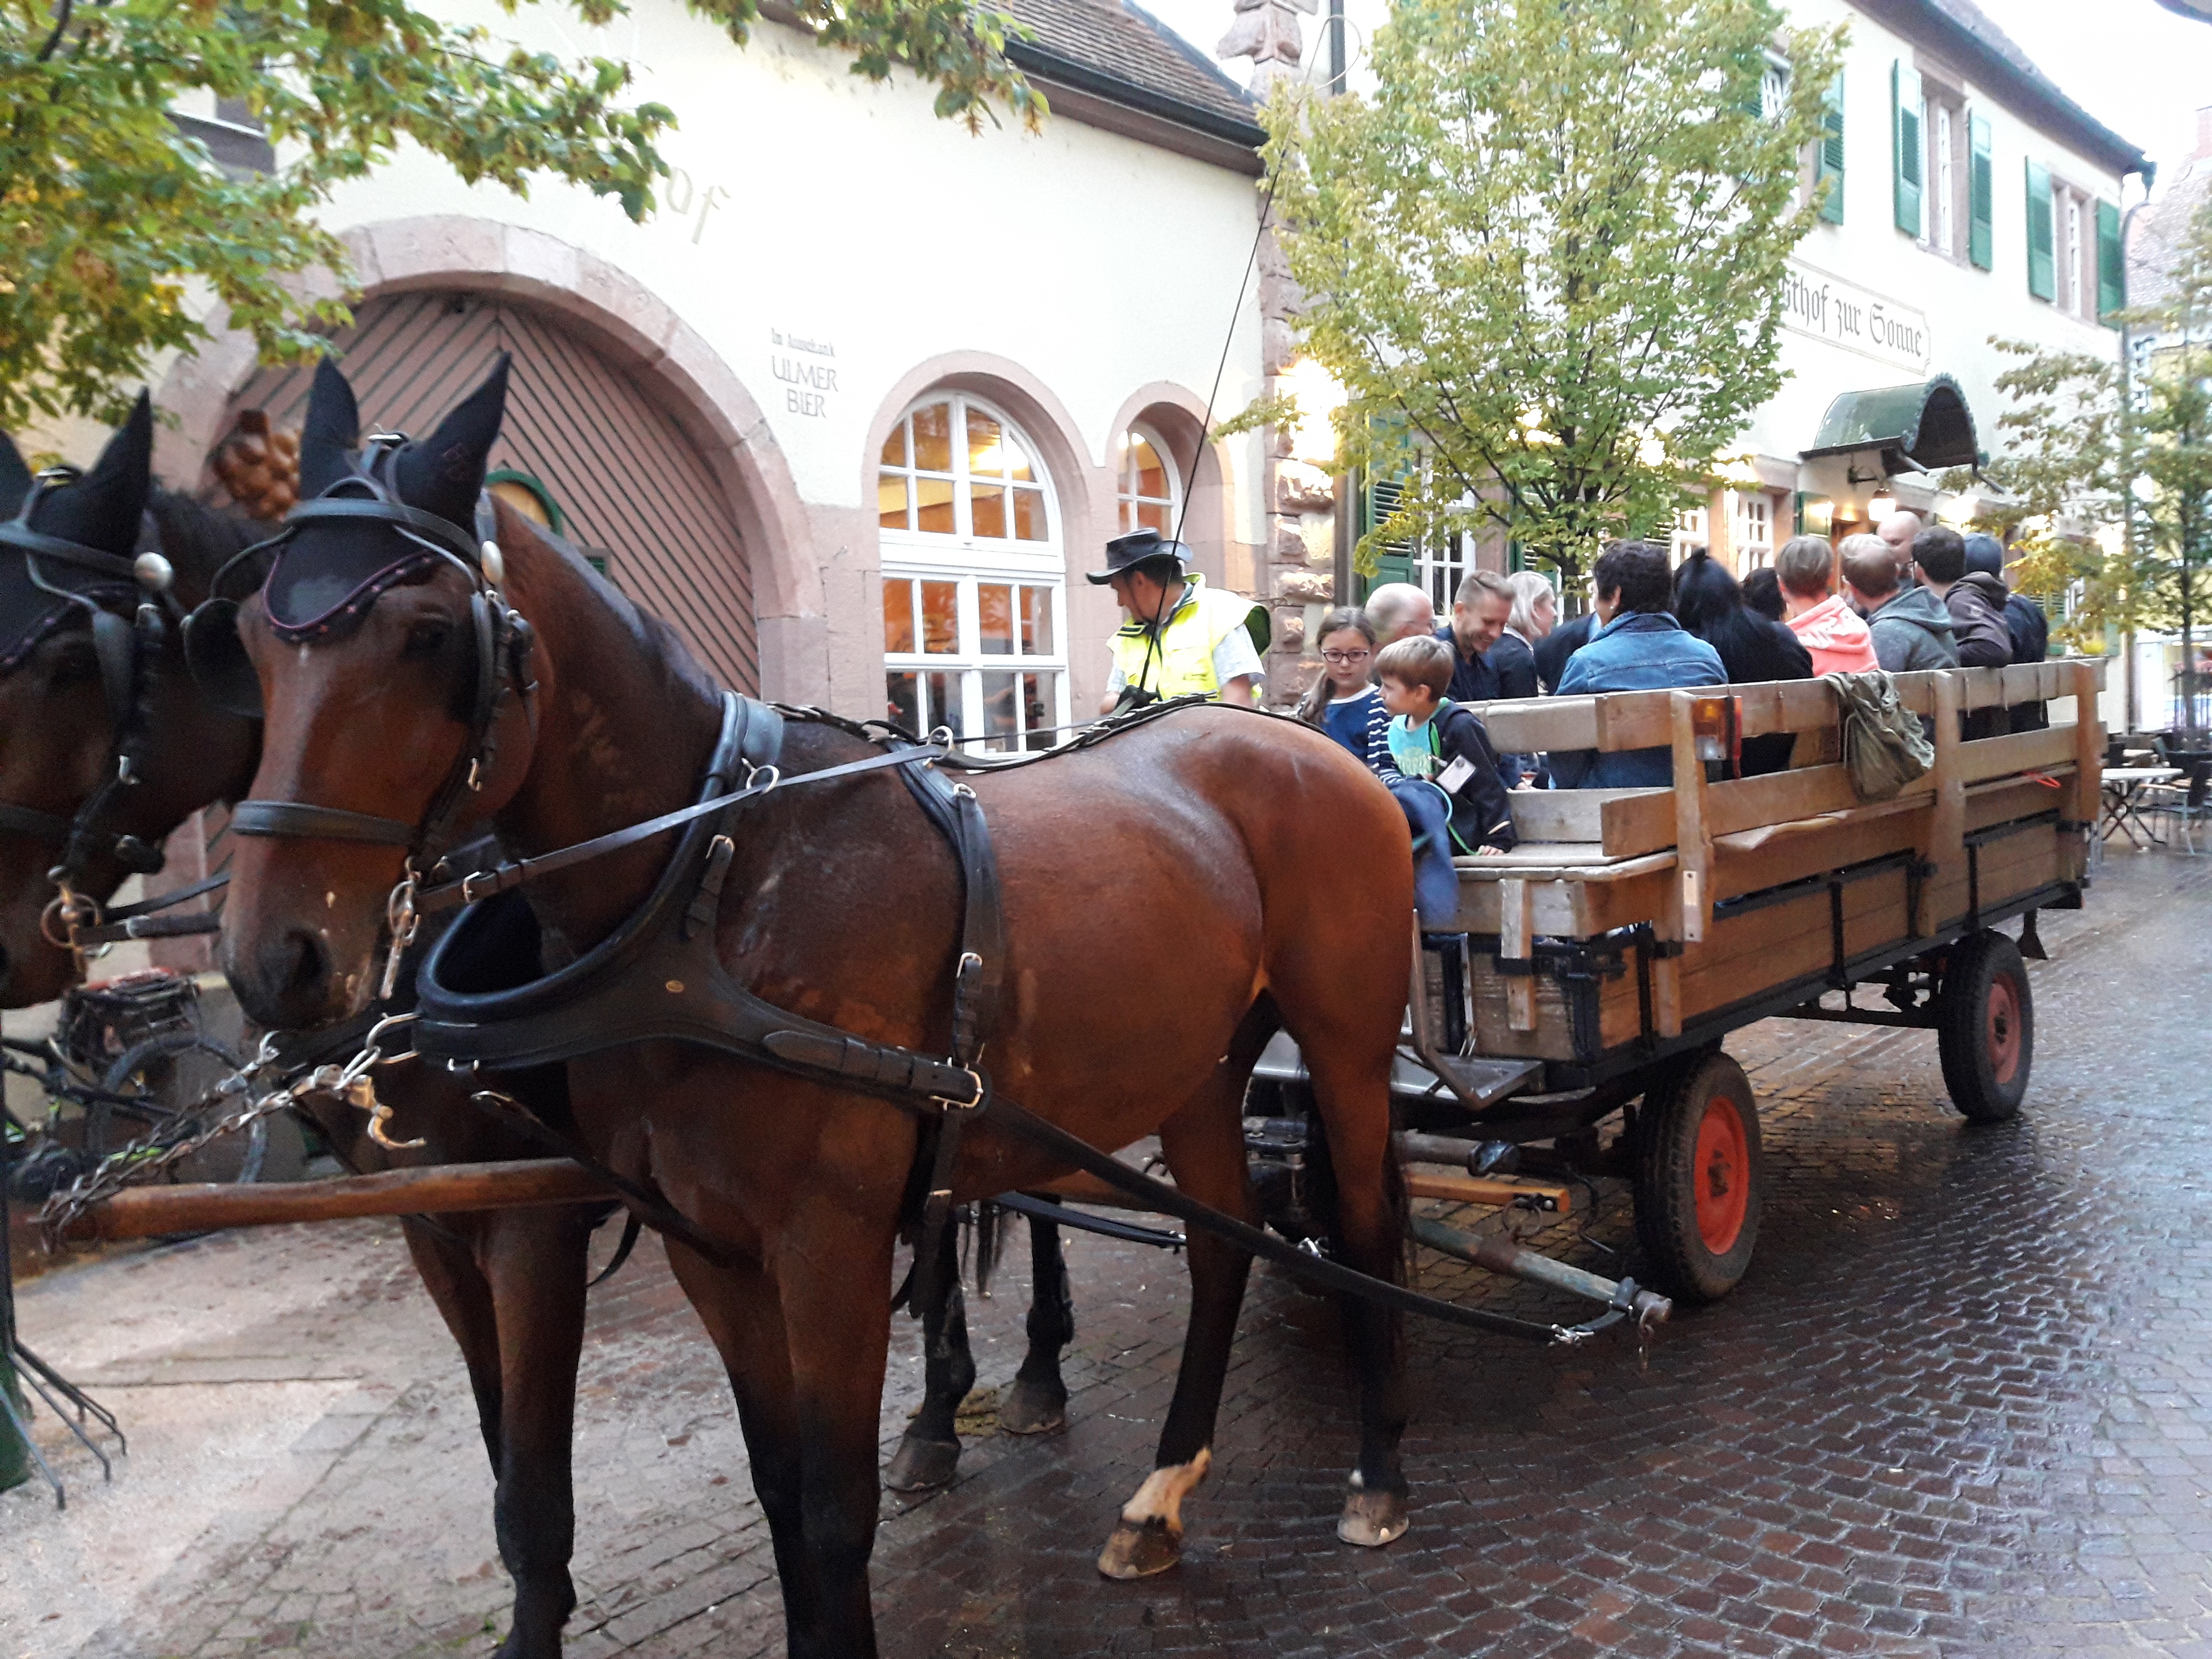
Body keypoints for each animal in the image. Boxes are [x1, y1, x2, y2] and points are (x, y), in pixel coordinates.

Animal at [211, 362, 1415, 1659]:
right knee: (1222, 1243)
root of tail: (1299, 740)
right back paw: (1159, 1494)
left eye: (429, 636)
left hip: (1345, 1050)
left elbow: (835, 1508)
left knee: (1361, 1228)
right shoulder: (705, 1246)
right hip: (1191, 1066)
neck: (709, 888)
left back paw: (1378, 1473)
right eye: (245, 641)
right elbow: (778, 1483)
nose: (277, 959)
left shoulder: (812, 1245)